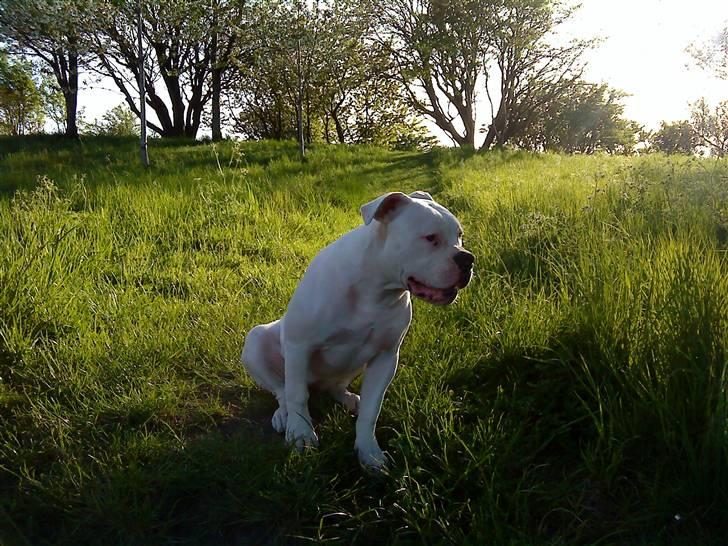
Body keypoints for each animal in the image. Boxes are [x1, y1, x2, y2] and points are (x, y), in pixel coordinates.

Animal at [242, 189, 474, 466]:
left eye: (459, 236)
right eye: (430, 238)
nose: (468, 258)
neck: (376, 289)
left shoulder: (386, 358)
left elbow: (372, 410)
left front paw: (369, 452)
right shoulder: (300, 345)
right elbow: (297, 395)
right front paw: (301, 435)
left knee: (335, 387)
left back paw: (350, 400)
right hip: (256, 341)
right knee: (283, 389)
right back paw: (283, 415)